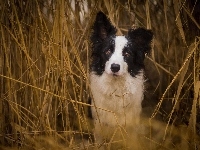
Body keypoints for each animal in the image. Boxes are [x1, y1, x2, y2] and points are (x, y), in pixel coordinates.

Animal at [89, 11, 153, 149]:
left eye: (127, 54)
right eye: (108, 51)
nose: (115, 67)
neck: (116, 86)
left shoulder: (132, 124)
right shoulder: (99, 124)